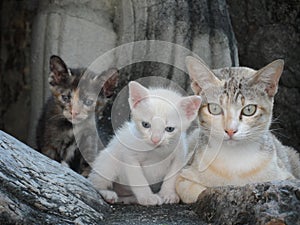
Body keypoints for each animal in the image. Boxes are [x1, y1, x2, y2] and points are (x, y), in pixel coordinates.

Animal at [176, 56, 300, 204]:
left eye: (249, 110)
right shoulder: (183, 176)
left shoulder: (287, 178)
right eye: (214, 108)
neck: (235, 159)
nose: (230, 130)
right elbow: (197, 192)